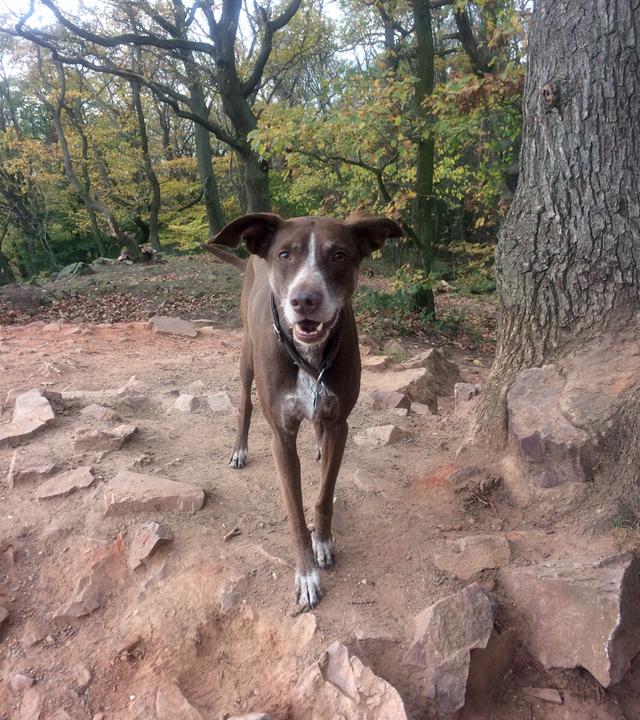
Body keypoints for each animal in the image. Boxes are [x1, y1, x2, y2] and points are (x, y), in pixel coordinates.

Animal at [205, 213, 402, 608]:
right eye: (285, 254)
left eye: (339, 255)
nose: (304, 300)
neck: (308, 356)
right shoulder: (281, 437)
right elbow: (295, 513)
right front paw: (306, 574)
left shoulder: (341, 425)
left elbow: (324, 495)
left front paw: (322, 542)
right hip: (246, 357)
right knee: (245, 404)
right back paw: (240, 450)